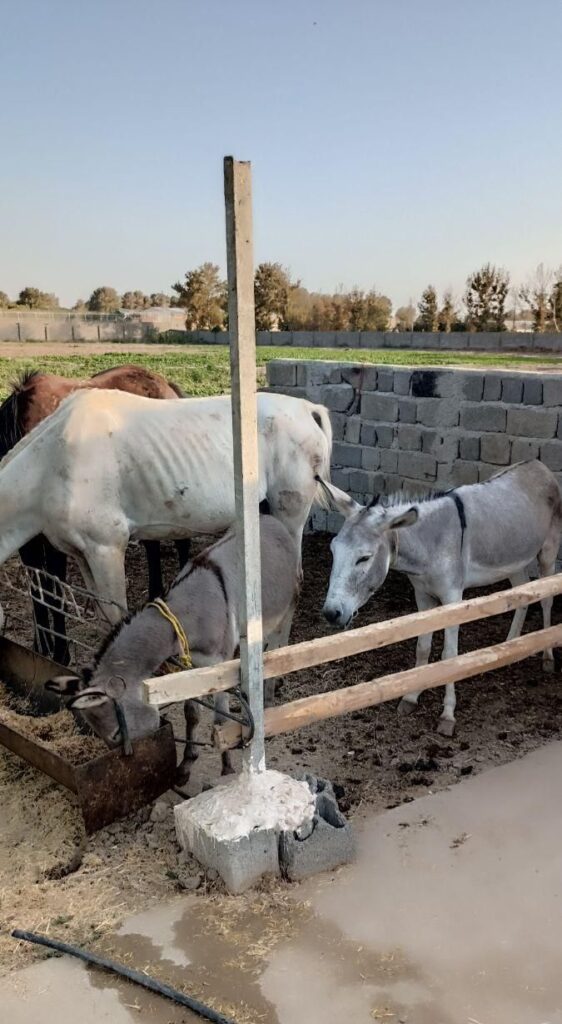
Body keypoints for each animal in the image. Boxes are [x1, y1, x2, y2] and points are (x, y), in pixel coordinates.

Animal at [0, 366, 189, 663]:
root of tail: (165, 384)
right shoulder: (28, 542)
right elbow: (37, 588)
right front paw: (41, 647)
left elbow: (54, 590)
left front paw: (60, 652)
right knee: (153, 545)